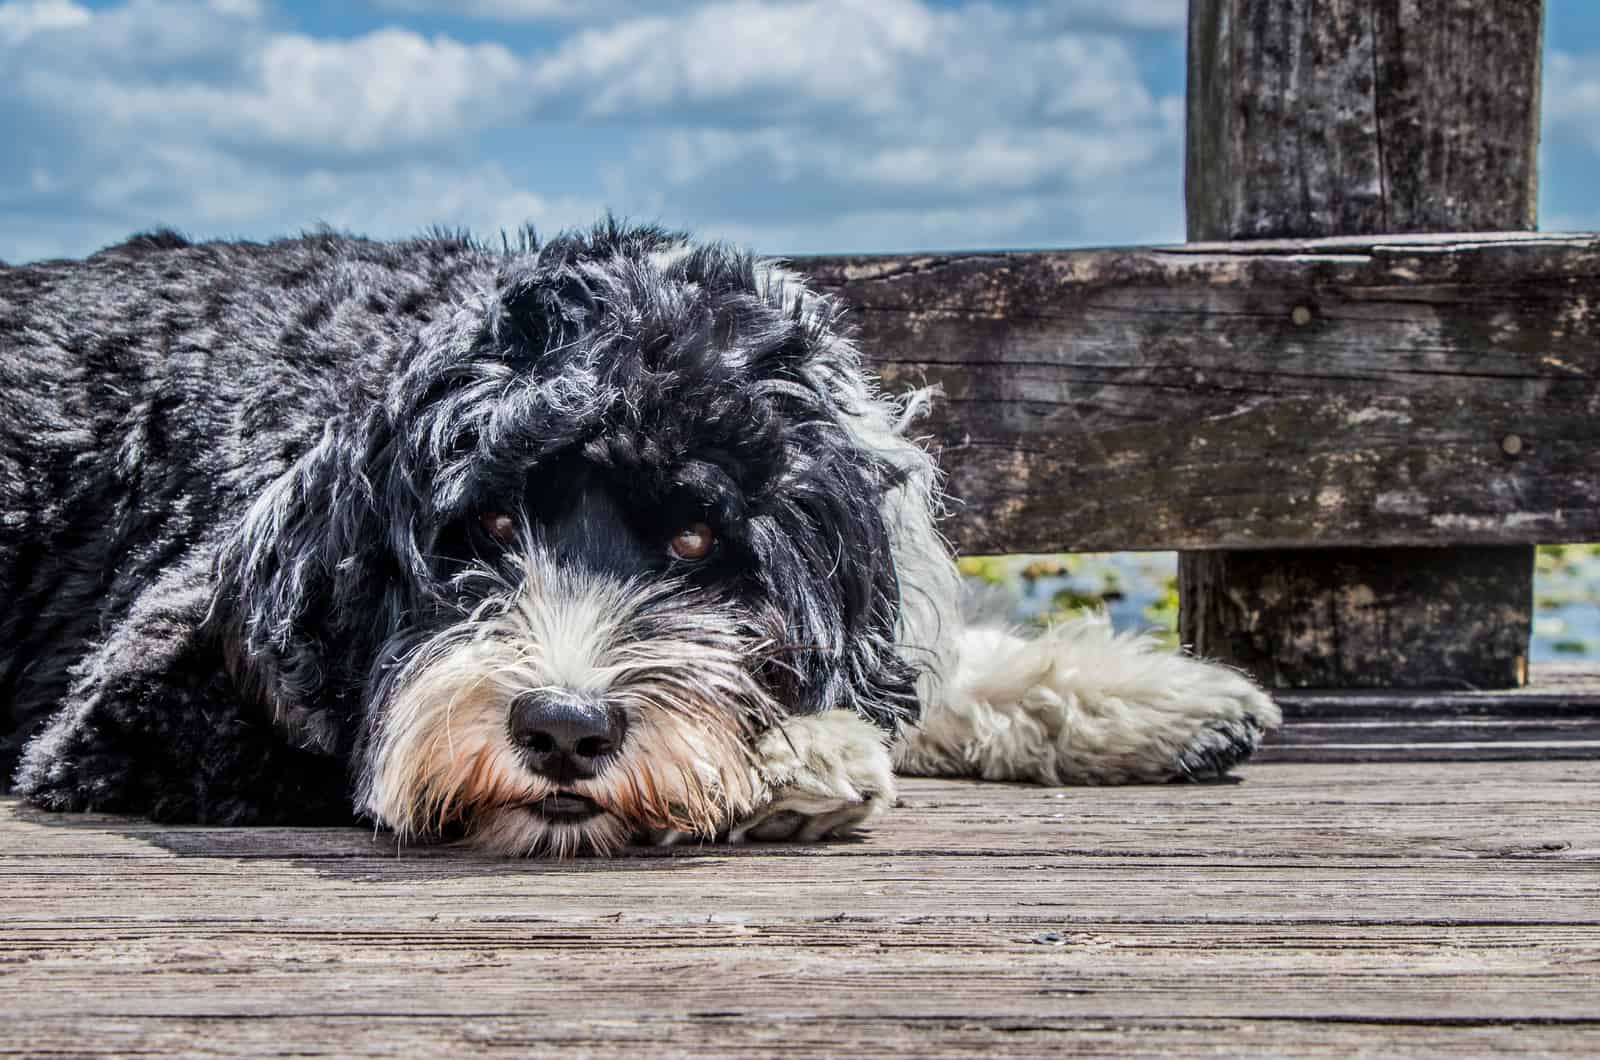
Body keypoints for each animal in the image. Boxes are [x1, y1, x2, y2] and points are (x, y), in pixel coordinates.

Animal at [0, 222, 1280, 858]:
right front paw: (794, 758)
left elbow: (915, 670)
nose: (564, 729)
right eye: (486, 525)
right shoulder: (132, 708)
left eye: (698, 541)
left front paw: (1141, 699)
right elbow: (355, 741)